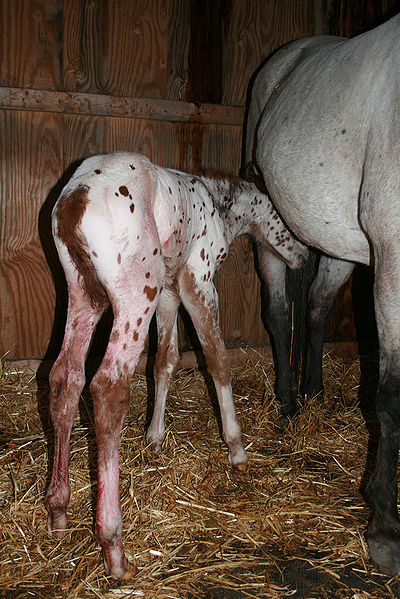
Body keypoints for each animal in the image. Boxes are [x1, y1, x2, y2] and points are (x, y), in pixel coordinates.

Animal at [45, 152, 308, 580]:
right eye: (286, 217)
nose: (303, 257)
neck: (218, 204)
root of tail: (74, 200)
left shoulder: (169, 291)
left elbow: (164, 361)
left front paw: (154, 436)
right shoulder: (197, 280)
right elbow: (216, 358)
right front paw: (236, 449)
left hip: (84, 293)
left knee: (65, 379)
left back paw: (58, 512)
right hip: (136, 293)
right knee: (108, 388)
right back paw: (114, 548)